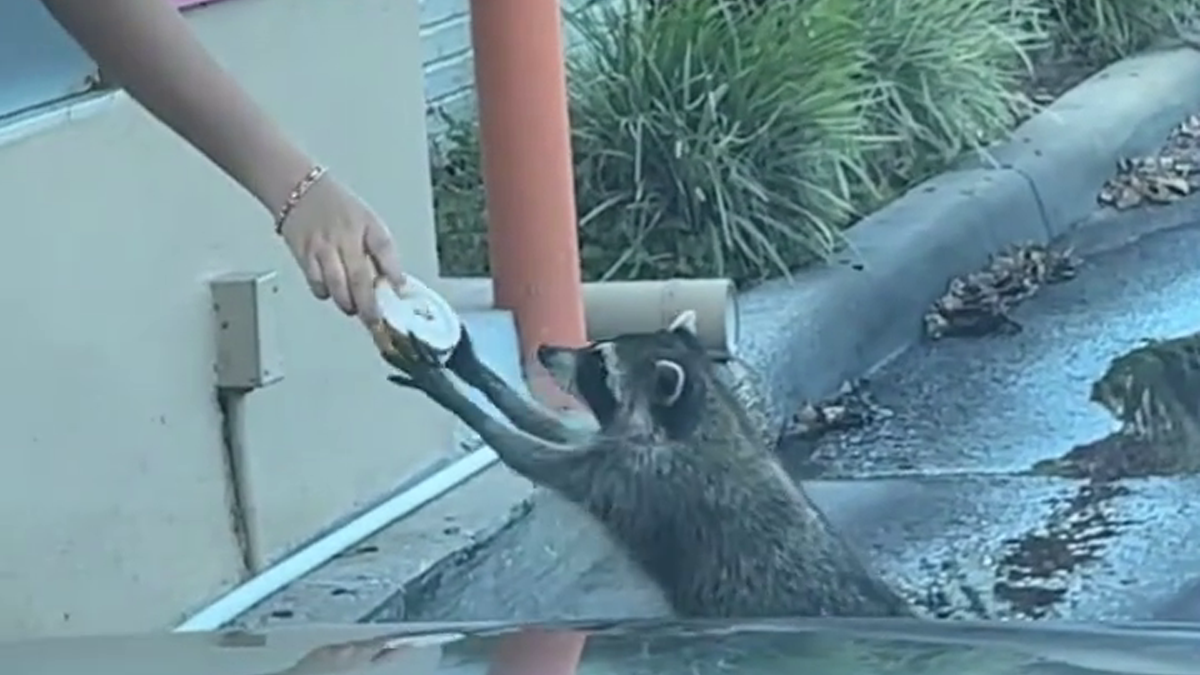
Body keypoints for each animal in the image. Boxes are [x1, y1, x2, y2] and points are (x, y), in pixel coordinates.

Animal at [385, 310, 912, 619]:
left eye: (599, 363)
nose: (545, 350)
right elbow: (556, 429)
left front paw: (455, 396)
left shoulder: (640, 478)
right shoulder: (620, 448)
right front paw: (476, 372)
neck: (695, 418)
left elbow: (534, 456)